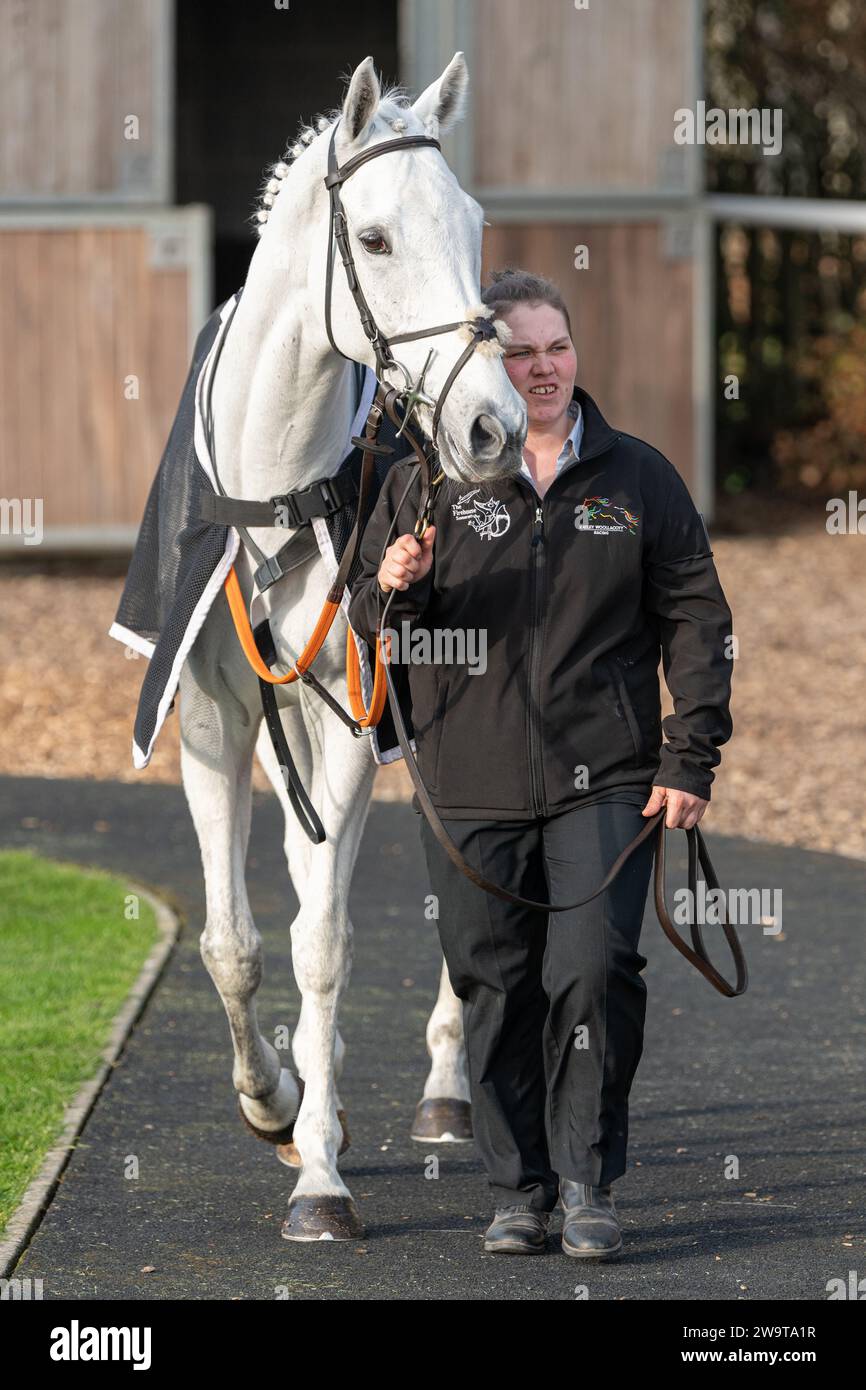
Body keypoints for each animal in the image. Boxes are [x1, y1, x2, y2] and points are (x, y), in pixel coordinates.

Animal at [179, 51, 525, 1239]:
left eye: (473, 226)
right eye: (371, 239)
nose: (493, 429)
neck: (275, 491)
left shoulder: (349, 715)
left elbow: (323, 943)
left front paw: (321, 1177)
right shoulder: (216, 720)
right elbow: (235, 942)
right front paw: (274, 1102)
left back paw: (446, 1087)